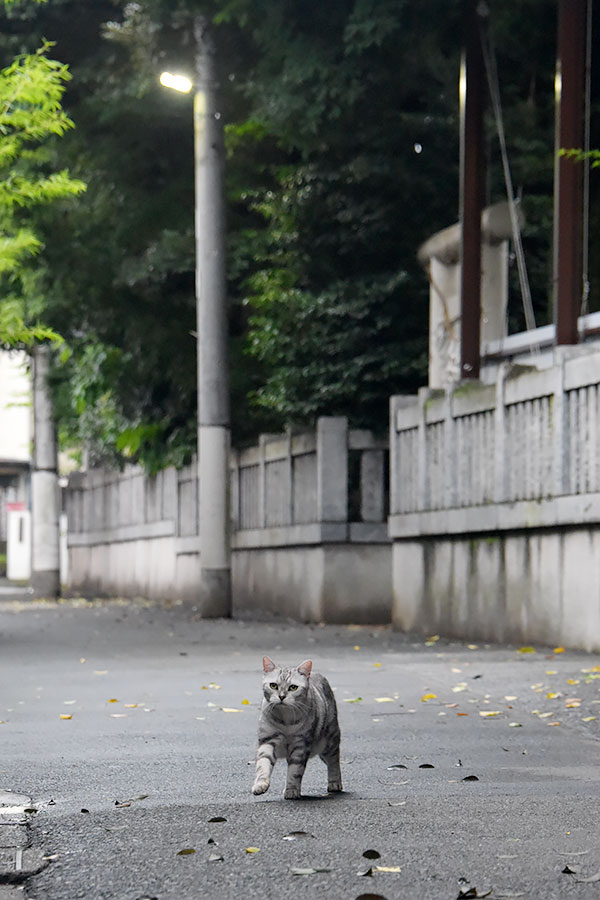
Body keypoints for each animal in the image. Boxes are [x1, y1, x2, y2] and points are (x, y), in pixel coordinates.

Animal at [251, 652, 342, 800]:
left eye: (293, 687)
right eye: (273, 685)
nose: (282, 696)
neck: (285, 720)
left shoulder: (300, 746)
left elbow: (295, 771)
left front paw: (292, 790)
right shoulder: (267, 741)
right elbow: (263, 764)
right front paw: (260, 785)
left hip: (329, 741)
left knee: (334, 762)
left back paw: (335, 782)